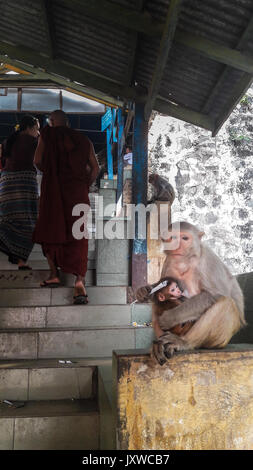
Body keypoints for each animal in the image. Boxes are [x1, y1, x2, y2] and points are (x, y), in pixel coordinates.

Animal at [136, 222, 245, 366]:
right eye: (172, 237)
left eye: (185, 238)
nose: (176, 246)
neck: (186, 259)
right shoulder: (169, 260)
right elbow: (162, 286)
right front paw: (144, 290)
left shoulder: (207, 261)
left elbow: (215, 294)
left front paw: (170, 317)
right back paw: (158, 344)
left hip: (220, 339)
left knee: (226, 303)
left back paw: (184, 342)